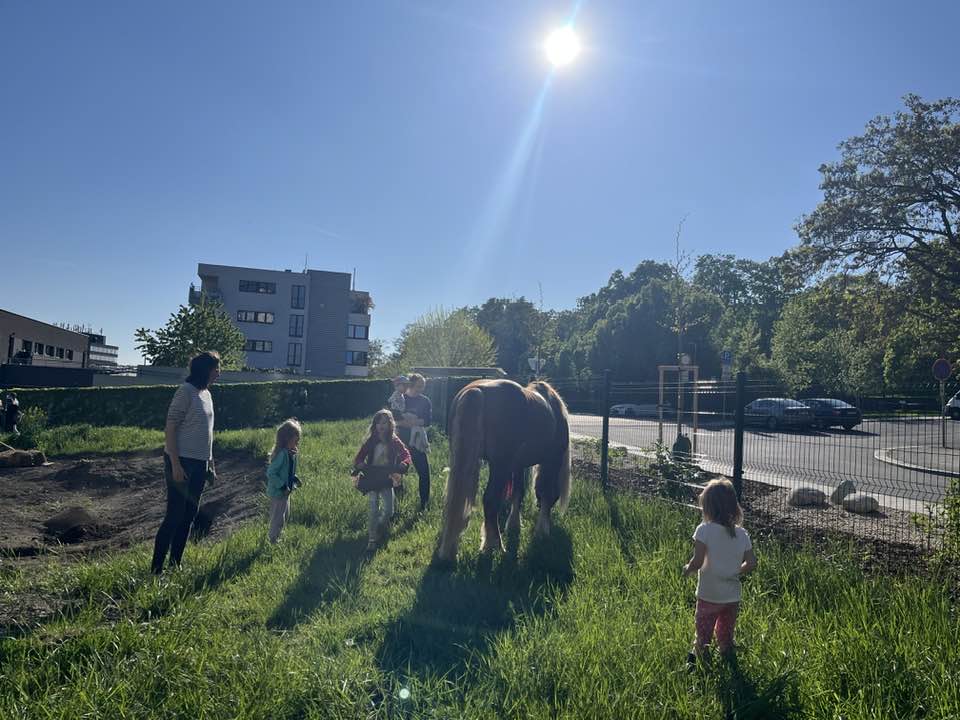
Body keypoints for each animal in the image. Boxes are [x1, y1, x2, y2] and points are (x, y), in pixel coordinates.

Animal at [437, 378, 571, 563]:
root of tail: (476, 390)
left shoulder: (518, 465)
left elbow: (518, 492)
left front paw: (514, 525)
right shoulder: (552, 460)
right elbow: (547, 493)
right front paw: (542, 531)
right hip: (499, 465)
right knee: (490, 500)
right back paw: (494, 545)